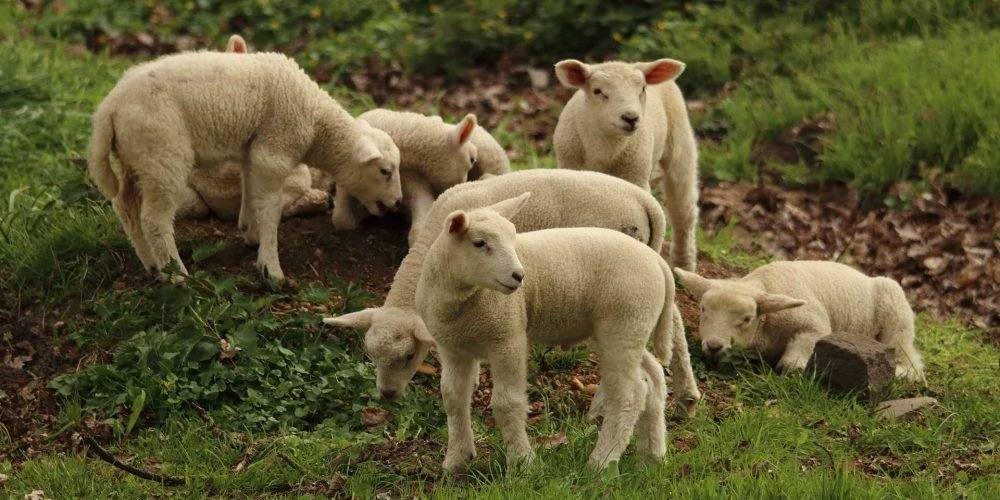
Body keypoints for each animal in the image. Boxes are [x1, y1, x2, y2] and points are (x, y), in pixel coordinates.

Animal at [88, 51, 402, 280]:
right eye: (385, 171)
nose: (398, 203)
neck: (315, 120)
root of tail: (109, 108)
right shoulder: (274, 150)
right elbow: (271, 208)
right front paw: (270, 267)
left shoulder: (254, 151)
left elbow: (251, 190)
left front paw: (250, 232)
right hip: (162, 154)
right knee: (155, 219)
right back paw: (176, 275)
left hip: (135, 159)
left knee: (126, 208)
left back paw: (152, 267)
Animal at [322, 169, 701, 417]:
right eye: (371, 356)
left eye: (409, 356)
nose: (387, 395)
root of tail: (646, 201)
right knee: (674, 318)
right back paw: (688, 394)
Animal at [414, 193, 682, 471]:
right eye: (479, 243)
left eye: (513, 238)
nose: (519, 276)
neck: (462, 300)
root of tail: (657, 261)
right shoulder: (452, 349)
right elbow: (453, 399)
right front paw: (456, 460)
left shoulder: (507, 338)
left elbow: (507, 403)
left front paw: (522, 462)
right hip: (628, 328)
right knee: (654, 378)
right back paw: (652, 456)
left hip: (624, 321)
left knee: (629, 395)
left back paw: (601, 462)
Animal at [553, 58, 700, 272]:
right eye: (598, 91)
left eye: (643, 89)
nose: (631, 118)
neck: (605, 150)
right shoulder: (570, 168)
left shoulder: (636, 175)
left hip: (680, 141)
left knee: (683, 209)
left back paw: (683, 265)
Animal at [674, 261, 925, 380]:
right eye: (703, 309)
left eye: (746, 319)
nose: (714, 346)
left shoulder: (814, 324)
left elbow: (799, 354)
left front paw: (792, 366)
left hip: (897, 322)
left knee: (911, 363)